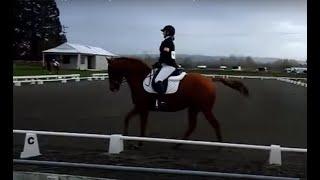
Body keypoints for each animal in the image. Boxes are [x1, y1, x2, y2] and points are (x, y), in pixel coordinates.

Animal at [106, 57, 249, 144]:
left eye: (111, 70)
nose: (113, 88)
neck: (140, 79)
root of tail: (210, 80)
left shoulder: (142, 108)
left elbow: (140, 124)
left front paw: (137, 142)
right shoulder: (140, 108)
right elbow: (128, 118)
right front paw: (127, 137)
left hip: (205, 108)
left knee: (214, 123)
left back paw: (219, 146)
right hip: (194, 108)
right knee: (192, 126)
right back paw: (178, 144)